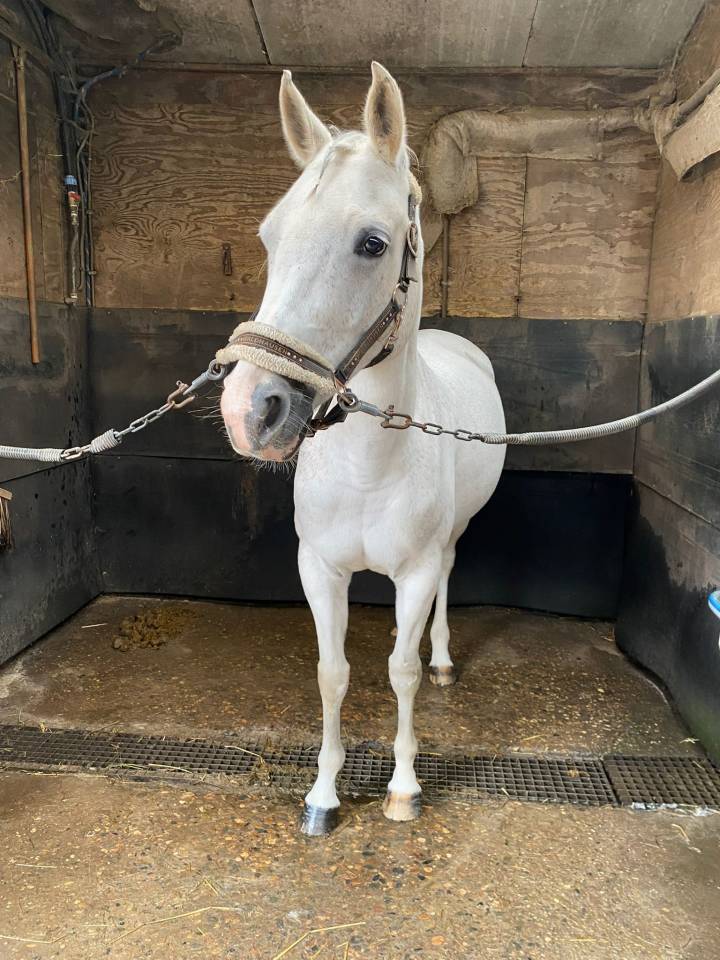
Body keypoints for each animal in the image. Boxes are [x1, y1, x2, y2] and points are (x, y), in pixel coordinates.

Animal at [220, 62, 506, 835]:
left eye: (373, 243)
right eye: (268, 237)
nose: (249, 410)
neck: (371, 468)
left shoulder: (413, 573)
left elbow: (400, 671)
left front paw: (403, 788)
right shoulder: (319, 569)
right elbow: (332, 674)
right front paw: (322, 794)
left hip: (453, 537)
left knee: (448, 583)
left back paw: (443, 659)